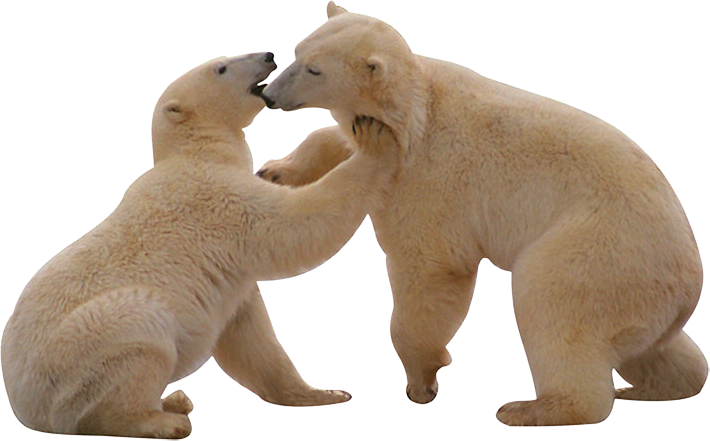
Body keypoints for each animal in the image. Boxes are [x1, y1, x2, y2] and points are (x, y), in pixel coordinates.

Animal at [0, 52, 400, 438]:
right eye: (221, 68)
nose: (269, 55)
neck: (195, 152)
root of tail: (23, 407)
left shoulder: (231, 277)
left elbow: (251, 337)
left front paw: (325, 393)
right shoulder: (218, 198)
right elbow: (297, 225)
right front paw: (373, 140)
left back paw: (174, 401)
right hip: (83, 351)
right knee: (139, 335)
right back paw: (166, 419)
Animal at [257, 2, 708, 426]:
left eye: (314, 69)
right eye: (297, 52)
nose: (269, 95)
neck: (413, 110)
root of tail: (690, 285)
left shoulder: (430, 178)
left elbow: (431, 269)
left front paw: (423, 379)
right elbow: (339, 143)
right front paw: (274, 170)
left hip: (601, 253)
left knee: (552, 307)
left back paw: (530, 408)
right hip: (645, 299)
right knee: (651, 346)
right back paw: (653, 388)